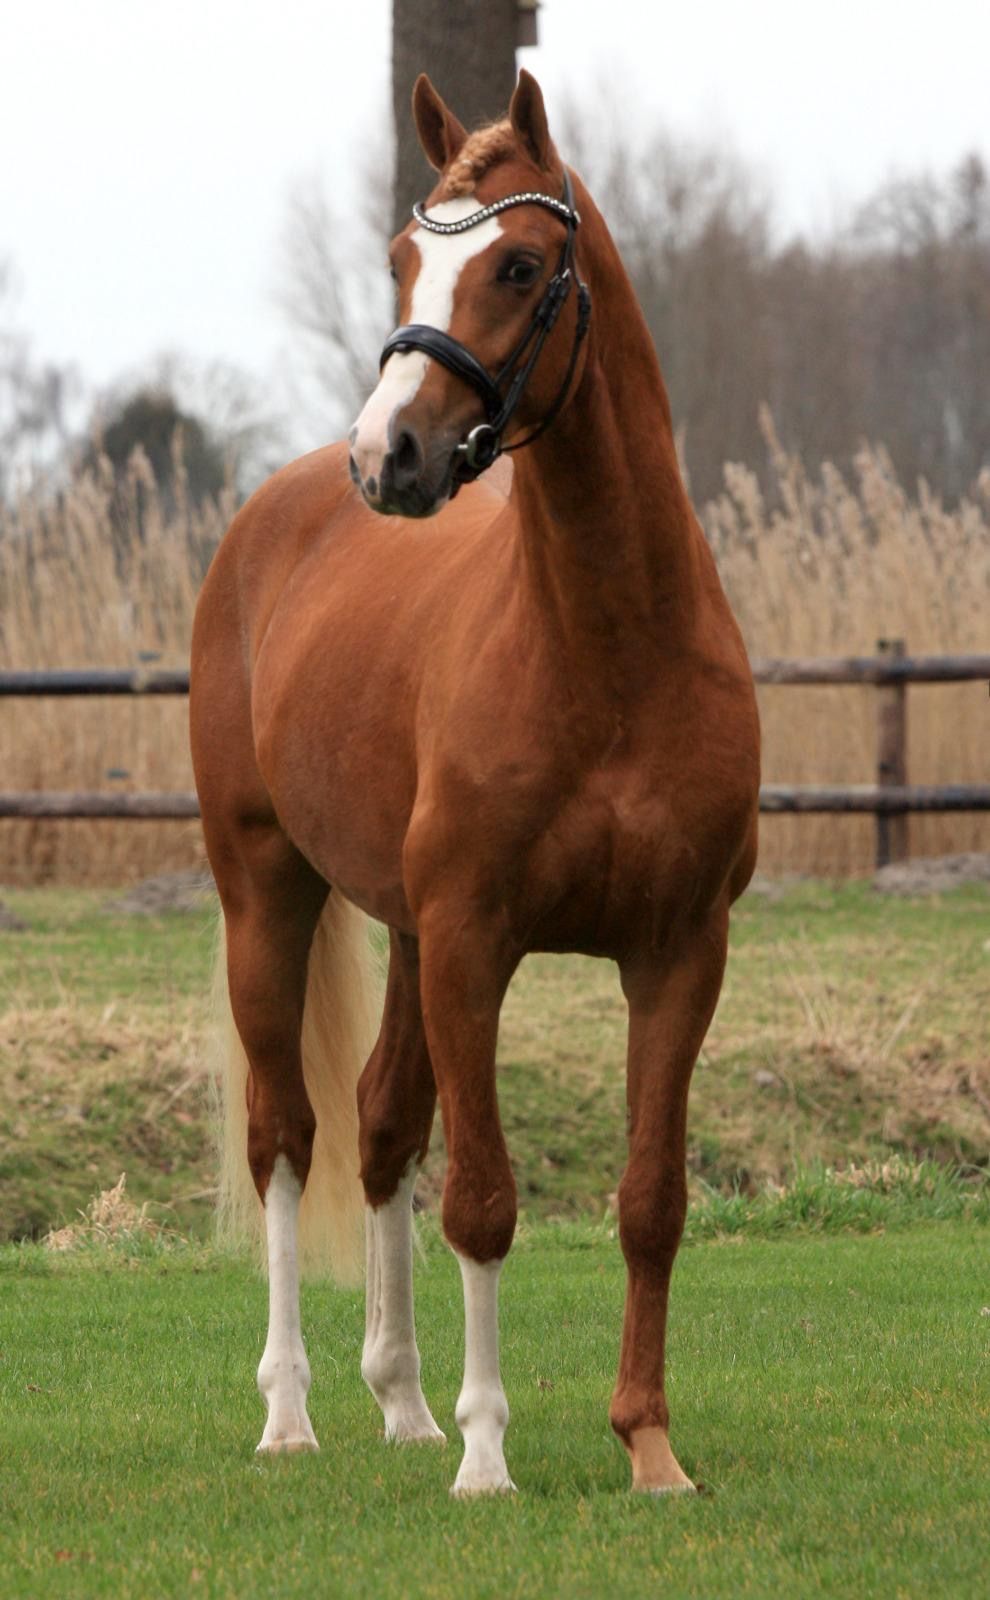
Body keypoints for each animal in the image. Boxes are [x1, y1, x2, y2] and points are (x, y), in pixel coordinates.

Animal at [190, 69, 760, 1497]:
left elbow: (650, 1200)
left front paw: (649, 1445)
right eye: (404, 258)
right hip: (266, 895)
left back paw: (400, 1402)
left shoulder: (680, 952)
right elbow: (485, 1203)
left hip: (398, 933)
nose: (387, 456)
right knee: (289, 1137)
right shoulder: (473, 943)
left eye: (517, 263)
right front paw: (491, 1455)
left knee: (384, 1122)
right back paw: (293, 1414)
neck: (608, 648)